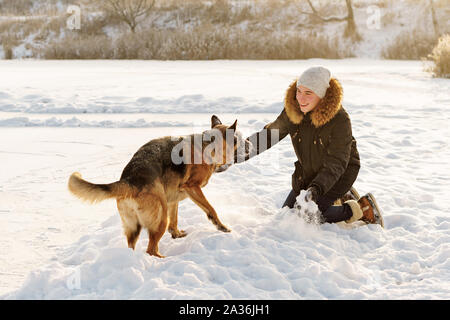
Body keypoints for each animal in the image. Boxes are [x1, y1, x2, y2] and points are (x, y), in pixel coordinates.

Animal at [68, 115, 251, 258]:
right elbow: (211, 208)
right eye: (240, 139)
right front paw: (221, 226)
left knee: (134, 246)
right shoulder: (192, 187)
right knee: (151, 249)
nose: (251, 143)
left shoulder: (173, 199)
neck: (209, 145)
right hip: (161, 217)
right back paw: (164, 260)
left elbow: (175, 220)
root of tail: (130, 180)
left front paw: (176, 234)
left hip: (135, 226)